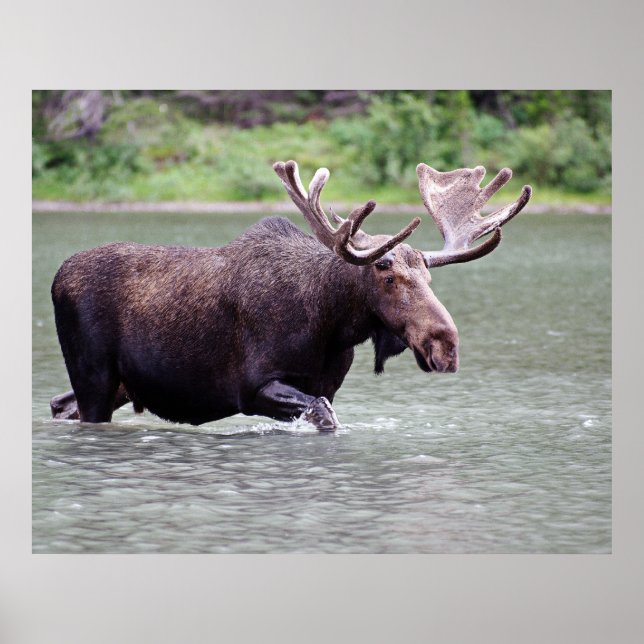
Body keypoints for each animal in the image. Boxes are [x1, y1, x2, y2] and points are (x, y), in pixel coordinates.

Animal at [49, 160, 531, 430]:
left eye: (429, 278)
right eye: (387, 276)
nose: (445, 346)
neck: (332, 327)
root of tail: (56, 279)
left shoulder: (325, 385)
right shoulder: (254, 386)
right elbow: (323, 415)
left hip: (119, 384)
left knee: (59, 404)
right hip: (94, 376)